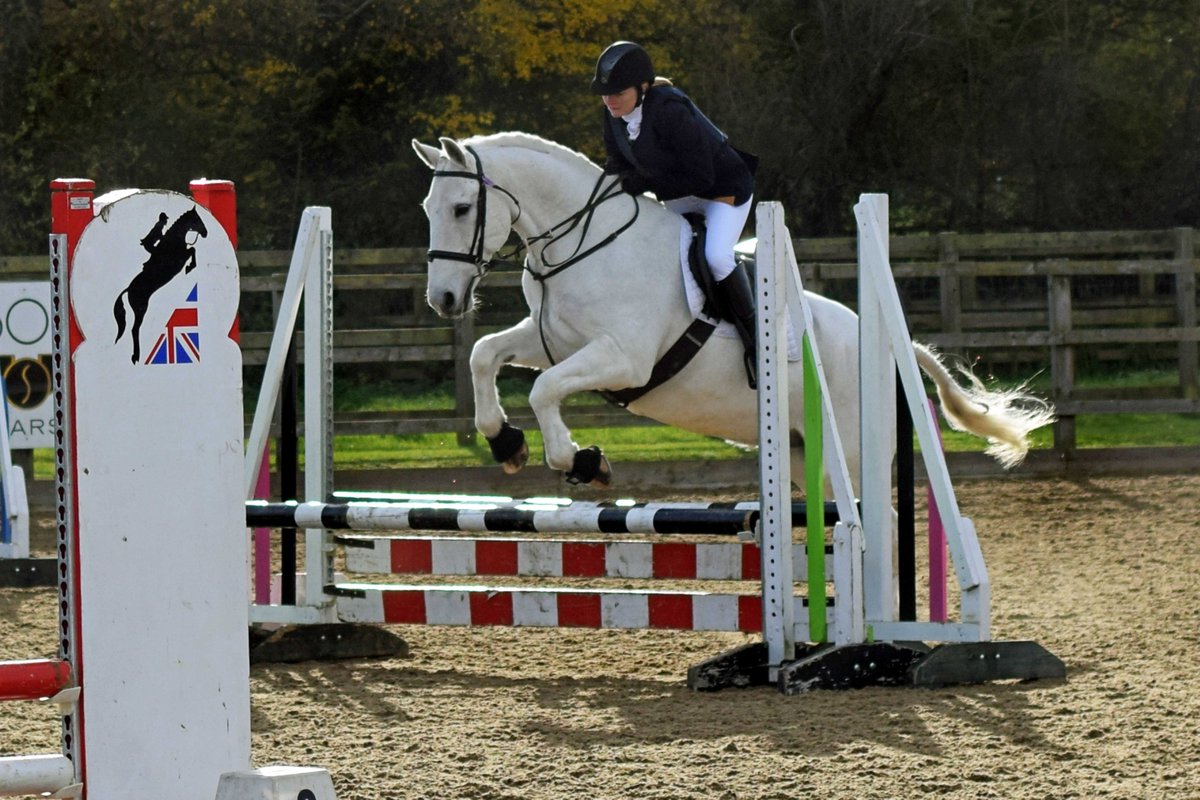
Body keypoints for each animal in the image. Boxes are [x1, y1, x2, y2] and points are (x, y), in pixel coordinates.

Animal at [113, 207, 208, 364]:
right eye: (196, 219)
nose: (206, 233)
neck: (174, 241)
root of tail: (129, 289)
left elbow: (192, 250)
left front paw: (190, 267)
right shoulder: (179, 259)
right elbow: (192, 251)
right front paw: (189, 267)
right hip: (141, 308)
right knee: (134, 329)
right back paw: (136, 356)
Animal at [412, 132, 1054, 492]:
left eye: (463, 207)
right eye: (428, 208)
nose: (443, 300)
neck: (585, 242)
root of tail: (897, 346)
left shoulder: (623, 360)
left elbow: (544, 389)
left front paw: (580, 460)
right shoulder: (556, 342)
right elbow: (484, 354)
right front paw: (505, 442)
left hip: (850, 452)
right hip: (800, 452)